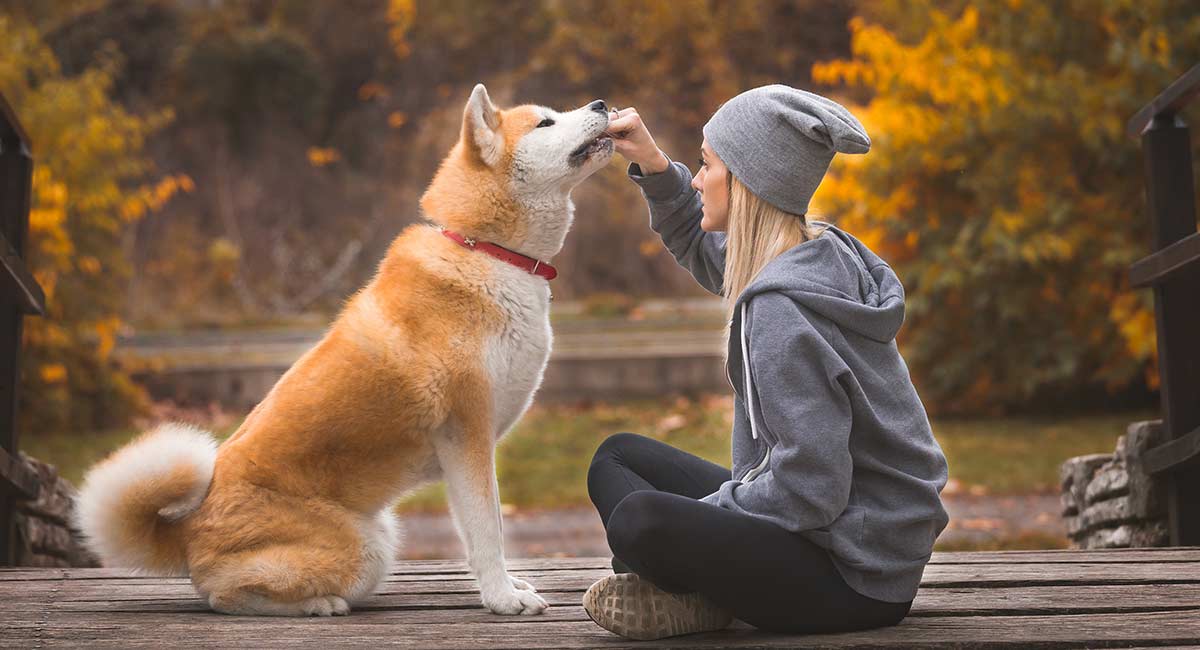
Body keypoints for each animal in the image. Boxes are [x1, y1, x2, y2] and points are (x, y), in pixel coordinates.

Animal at [77, 83, 609, 618]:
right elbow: (487, 532)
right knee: (224, 595)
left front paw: (509, 588)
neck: (486, 250)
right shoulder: (467, 437)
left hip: (381, 532)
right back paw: (318, 603)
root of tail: (187, 531)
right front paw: (502, 598)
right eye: (545, 122)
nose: (602, 105)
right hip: (366, 549)